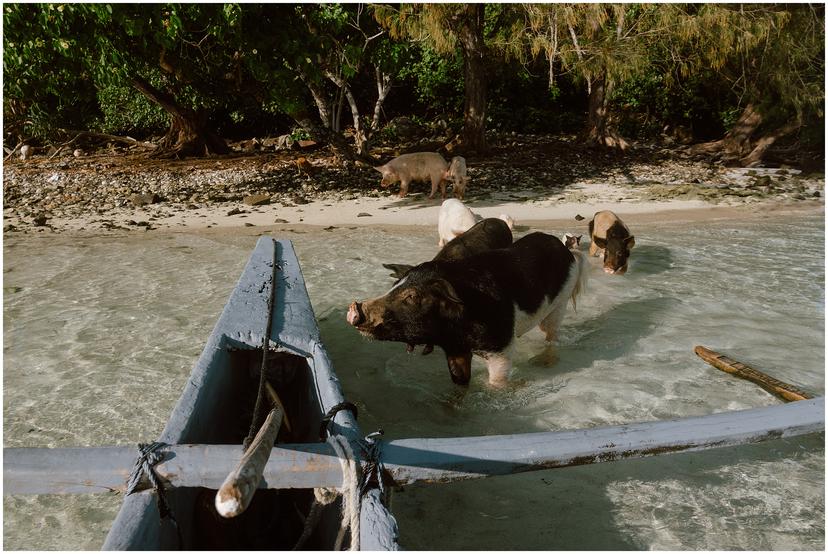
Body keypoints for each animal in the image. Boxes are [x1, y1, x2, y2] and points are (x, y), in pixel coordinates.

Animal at [348, 231, 588, 386]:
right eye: (394, 286)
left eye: (412, 296)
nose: (355, 308)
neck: (456, 331)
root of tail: (567, 252)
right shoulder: (455, 349)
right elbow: (459, 381)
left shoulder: (501, 348)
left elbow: (497, 383)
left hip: (561, 302)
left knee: (551, 334)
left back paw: (543, 362)